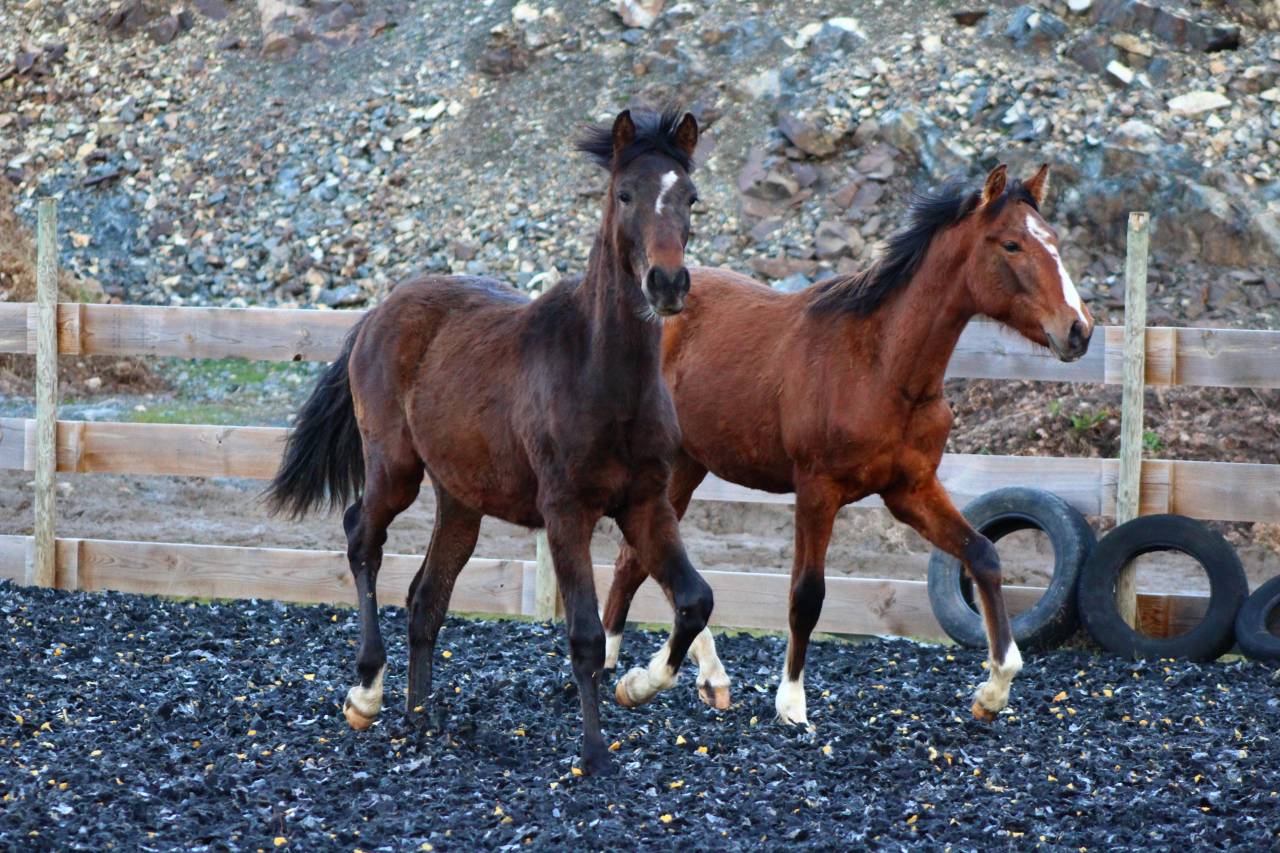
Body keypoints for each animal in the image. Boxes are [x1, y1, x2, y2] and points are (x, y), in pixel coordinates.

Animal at [267, 109, 713, 776]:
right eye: (624, 194)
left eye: (689, 197)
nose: (666, 283)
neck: (602, 376)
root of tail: (377, 313)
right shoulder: (567, 513)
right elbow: (585, 636)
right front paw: (594, 755)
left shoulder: (646, 505)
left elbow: (694, 600)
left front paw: (639, 686)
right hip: (395, 470)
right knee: (360, 536)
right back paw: (365, 694)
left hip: (460, 500)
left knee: (426, 598)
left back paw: (421, 720)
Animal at [603, 164, 1094, 726]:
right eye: (1011, 244)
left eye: (1053, 240)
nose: (1078, 329)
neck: (881, 367)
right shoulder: (818, 490)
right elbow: (806, 595)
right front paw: (792, 704)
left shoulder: (911, 490)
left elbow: (983, 555)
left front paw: (994, 690)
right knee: (638, 559)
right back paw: (621, 671)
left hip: (687, 464)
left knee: (638, 560)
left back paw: (679, 679)